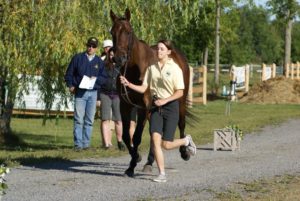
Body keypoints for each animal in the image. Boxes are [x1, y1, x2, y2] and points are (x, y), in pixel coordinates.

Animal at [109, 8, 190, 177]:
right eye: (112, 32)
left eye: (128, 32)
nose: (119, 58)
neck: (134, 68)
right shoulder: (125, 105)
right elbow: (126, 136)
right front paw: (136, 158)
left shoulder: (144, 107)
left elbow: (137, 136)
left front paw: (132, 164)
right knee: (155, 135)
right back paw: (149, 162)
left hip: (180, 100)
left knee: (181, 123)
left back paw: (184, 151)